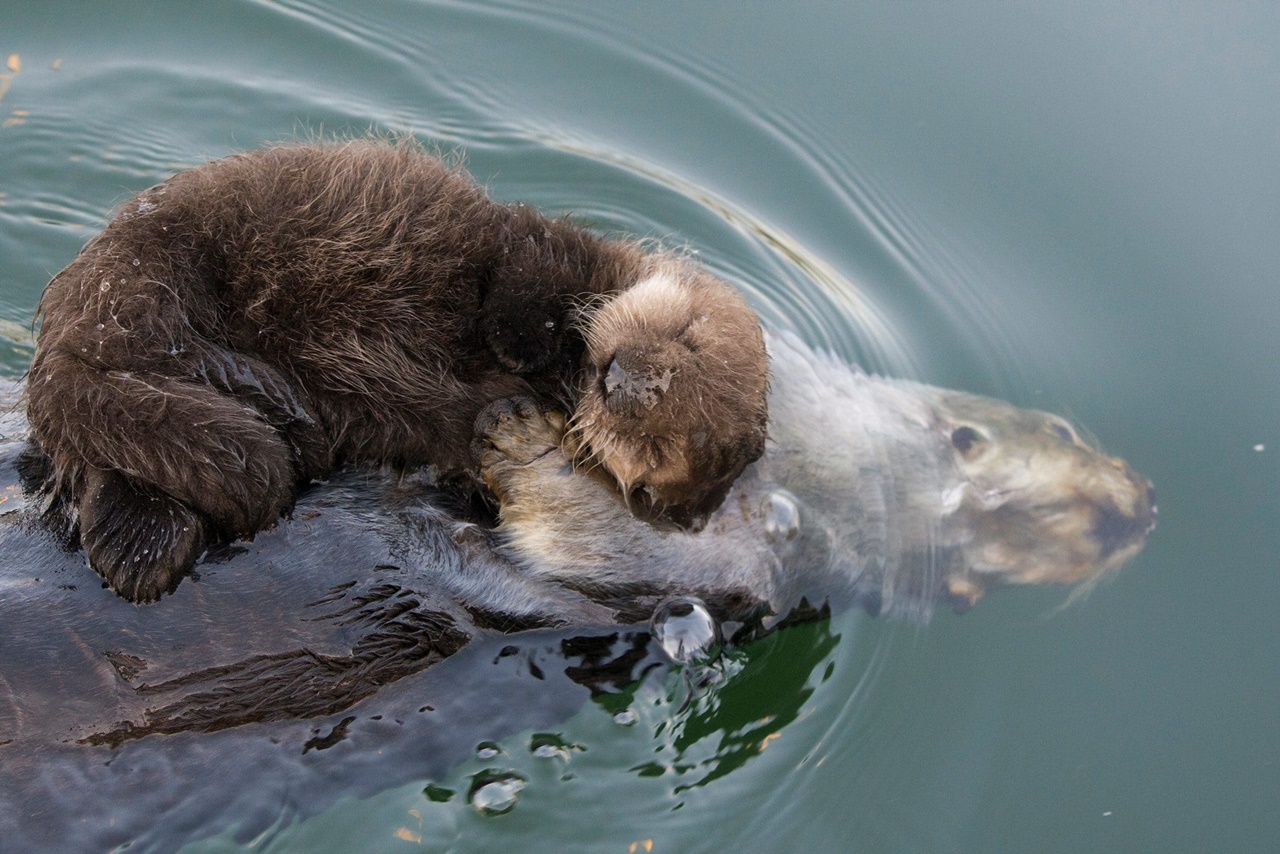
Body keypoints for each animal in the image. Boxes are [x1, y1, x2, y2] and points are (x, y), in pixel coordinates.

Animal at [24, 140, 768, 604]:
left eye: (655, 446)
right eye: (686, 336)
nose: (621, 380)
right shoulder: (543, 252)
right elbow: (520, 280)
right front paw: (527, 340)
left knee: (116, 457)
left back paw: (141, 546)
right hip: (154, 276)